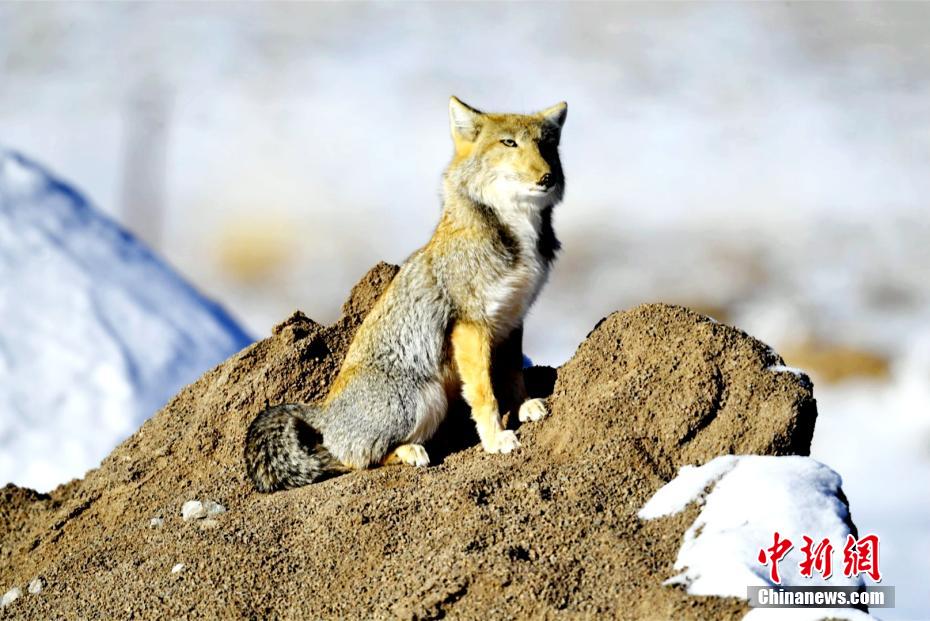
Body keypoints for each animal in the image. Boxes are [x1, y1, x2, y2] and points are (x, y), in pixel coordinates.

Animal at [244, 96, 567, 492]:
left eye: (547, 146)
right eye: (509, 143)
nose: (548, 177)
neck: (516, 231)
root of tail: (324, 412)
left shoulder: (511, 318)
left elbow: (512, 374)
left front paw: (524, 406)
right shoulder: (471, 325)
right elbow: (483, 394)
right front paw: (495, 440)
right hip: (422, 400)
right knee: (353, 460)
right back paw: (409, 452)